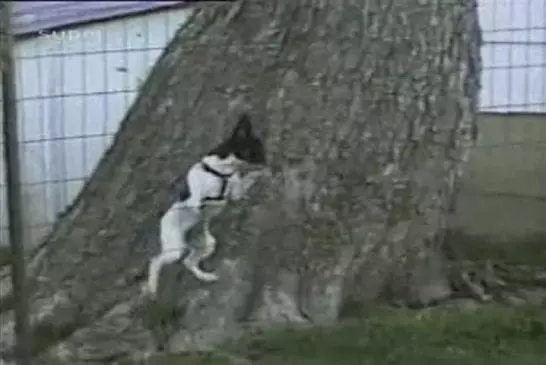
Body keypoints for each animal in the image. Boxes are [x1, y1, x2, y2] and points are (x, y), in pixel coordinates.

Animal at [143, 114, 264, 296]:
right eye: (255, 151)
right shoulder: (197, 193)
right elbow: (200, 199)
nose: (266, 162)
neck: (222, 171)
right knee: (156, 260)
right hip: (175, 249)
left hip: (204, 247)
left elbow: (242, 184)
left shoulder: (235, 190)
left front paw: (257, 175)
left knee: (189, 262)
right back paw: (152, 286)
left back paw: (206, 276)